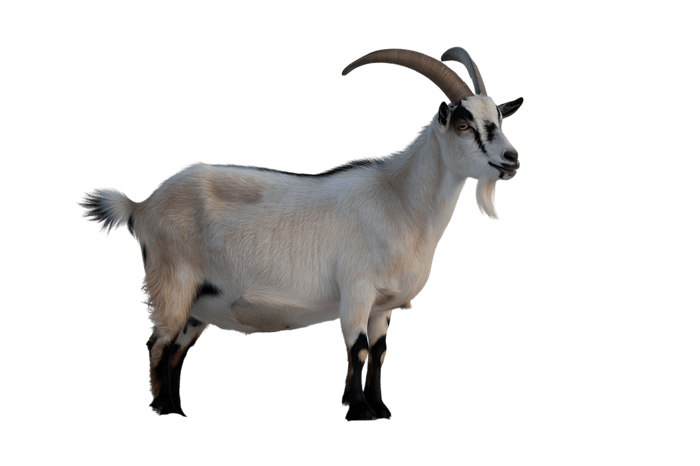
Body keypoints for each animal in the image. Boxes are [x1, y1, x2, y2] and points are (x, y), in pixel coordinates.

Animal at [77, 47, 525, 421]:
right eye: (464, 123)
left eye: (500, 119)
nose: (512, 158)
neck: (399, 200)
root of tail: (141, 207)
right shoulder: (356, 290)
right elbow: (358, 349)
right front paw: (359, 412)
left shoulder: (382, 305)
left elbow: (379, 353)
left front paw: (381, 410)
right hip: (172, 281)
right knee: (159, 344)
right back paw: (162, 409)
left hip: (199, 301)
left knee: (176, 351)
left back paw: (178, 410)